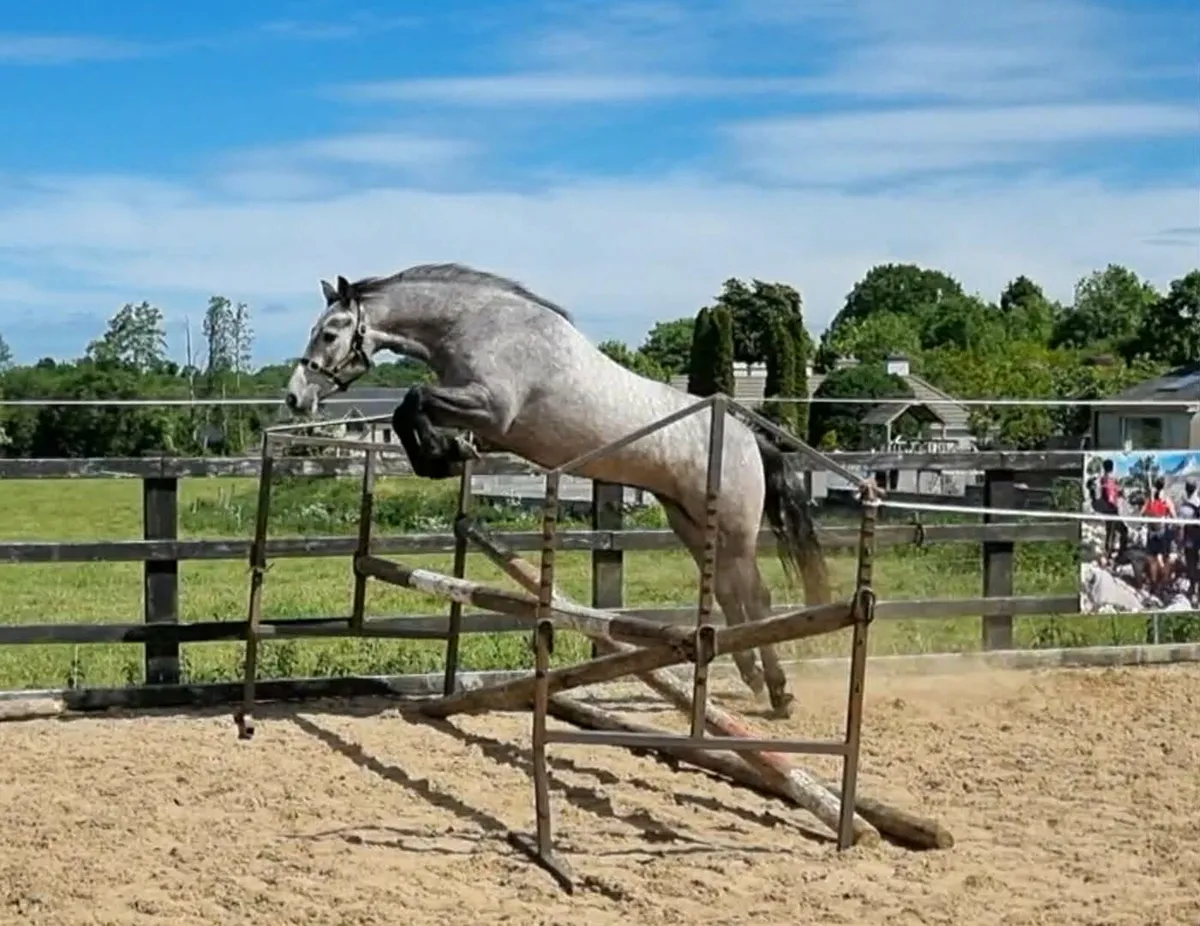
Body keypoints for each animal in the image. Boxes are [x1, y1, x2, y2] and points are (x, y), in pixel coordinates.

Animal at [284, 263, 831, 716]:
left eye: (329, 333)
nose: (295, 397)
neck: (476, 324)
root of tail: (750, 438)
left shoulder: (491, 408)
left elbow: (413, 400)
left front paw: (443, 455)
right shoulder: (481, 418)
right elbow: (407, 413)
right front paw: (444, 454)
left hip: (734, 529)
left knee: (755, 597)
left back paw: (779, 693)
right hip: (691, 522)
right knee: (729, 595)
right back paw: (753, 679)